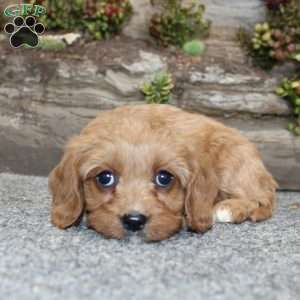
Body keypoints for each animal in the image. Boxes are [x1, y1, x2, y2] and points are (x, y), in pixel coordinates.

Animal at [48, 104, 276, 240]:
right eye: (105, 178)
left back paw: (228, 208)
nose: (134, 221)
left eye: (164, 178)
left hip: (233, 165)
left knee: (263, 200)